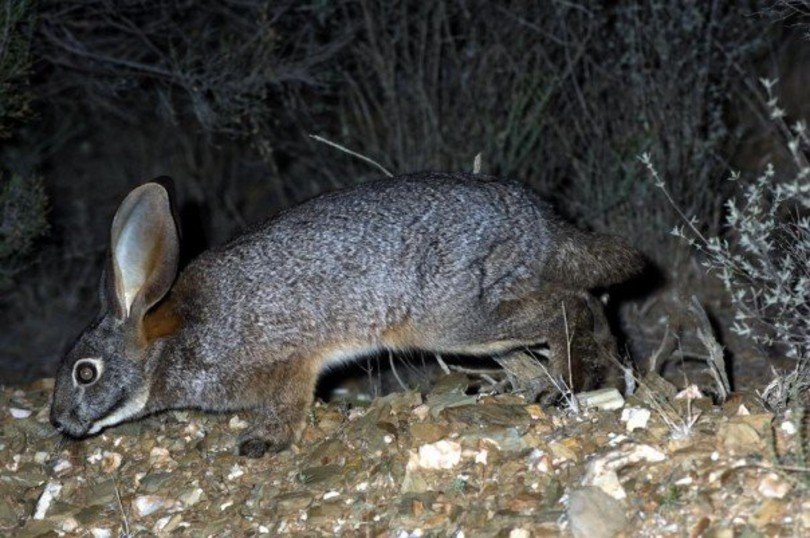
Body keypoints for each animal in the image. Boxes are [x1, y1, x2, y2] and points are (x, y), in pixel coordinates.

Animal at [50, 172, 643, 457]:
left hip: (459, 318)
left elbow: (288, 406)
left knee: (566, 306)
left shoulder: (286, 363)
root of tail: (540, 220)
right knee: (575, 310)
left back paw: (568, 385)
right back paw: (595, 375)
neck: (168, 344)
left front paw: (262, 444)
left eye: (86, 373)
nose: (59, 422)